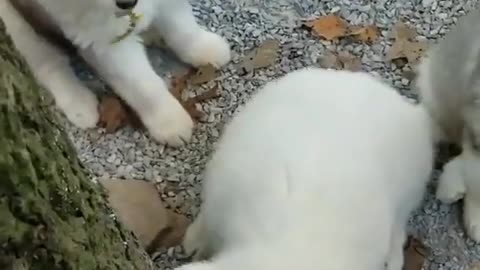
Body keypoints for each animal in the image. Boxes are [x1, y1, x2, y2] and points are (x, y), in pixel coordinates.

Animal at [0, 0, 232, 147]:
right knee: (47, 62)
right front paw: (168, 120)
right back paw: (78, 102)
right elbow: (143, 85)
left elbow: (182, 28)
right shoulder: (102, 38)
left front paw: (202, 47)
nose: (127, 3)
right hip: (12, 22)